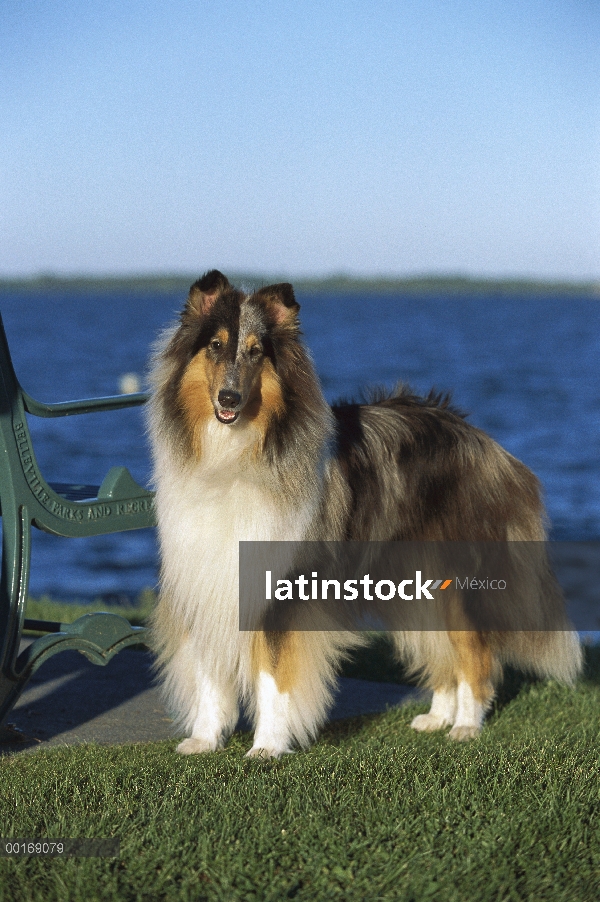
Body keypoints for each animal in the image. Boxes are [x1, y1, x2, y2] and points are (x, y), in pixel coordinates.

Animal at [149, 272, 580, 760]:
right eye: (216, 345)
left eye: (257, 351)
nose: (229, 398)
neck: (236, 455)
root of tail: (488, 444)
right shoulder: (204, 581)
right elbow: (209, 676)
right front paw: (204, 740)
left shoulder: (280, 590)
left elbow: (273, 676)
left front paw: (267, 747)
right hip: (413, 583)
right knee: (443, 650)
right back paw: (437, 717)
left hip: (457, 582)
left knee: (474, 653)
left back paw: (466, 726)